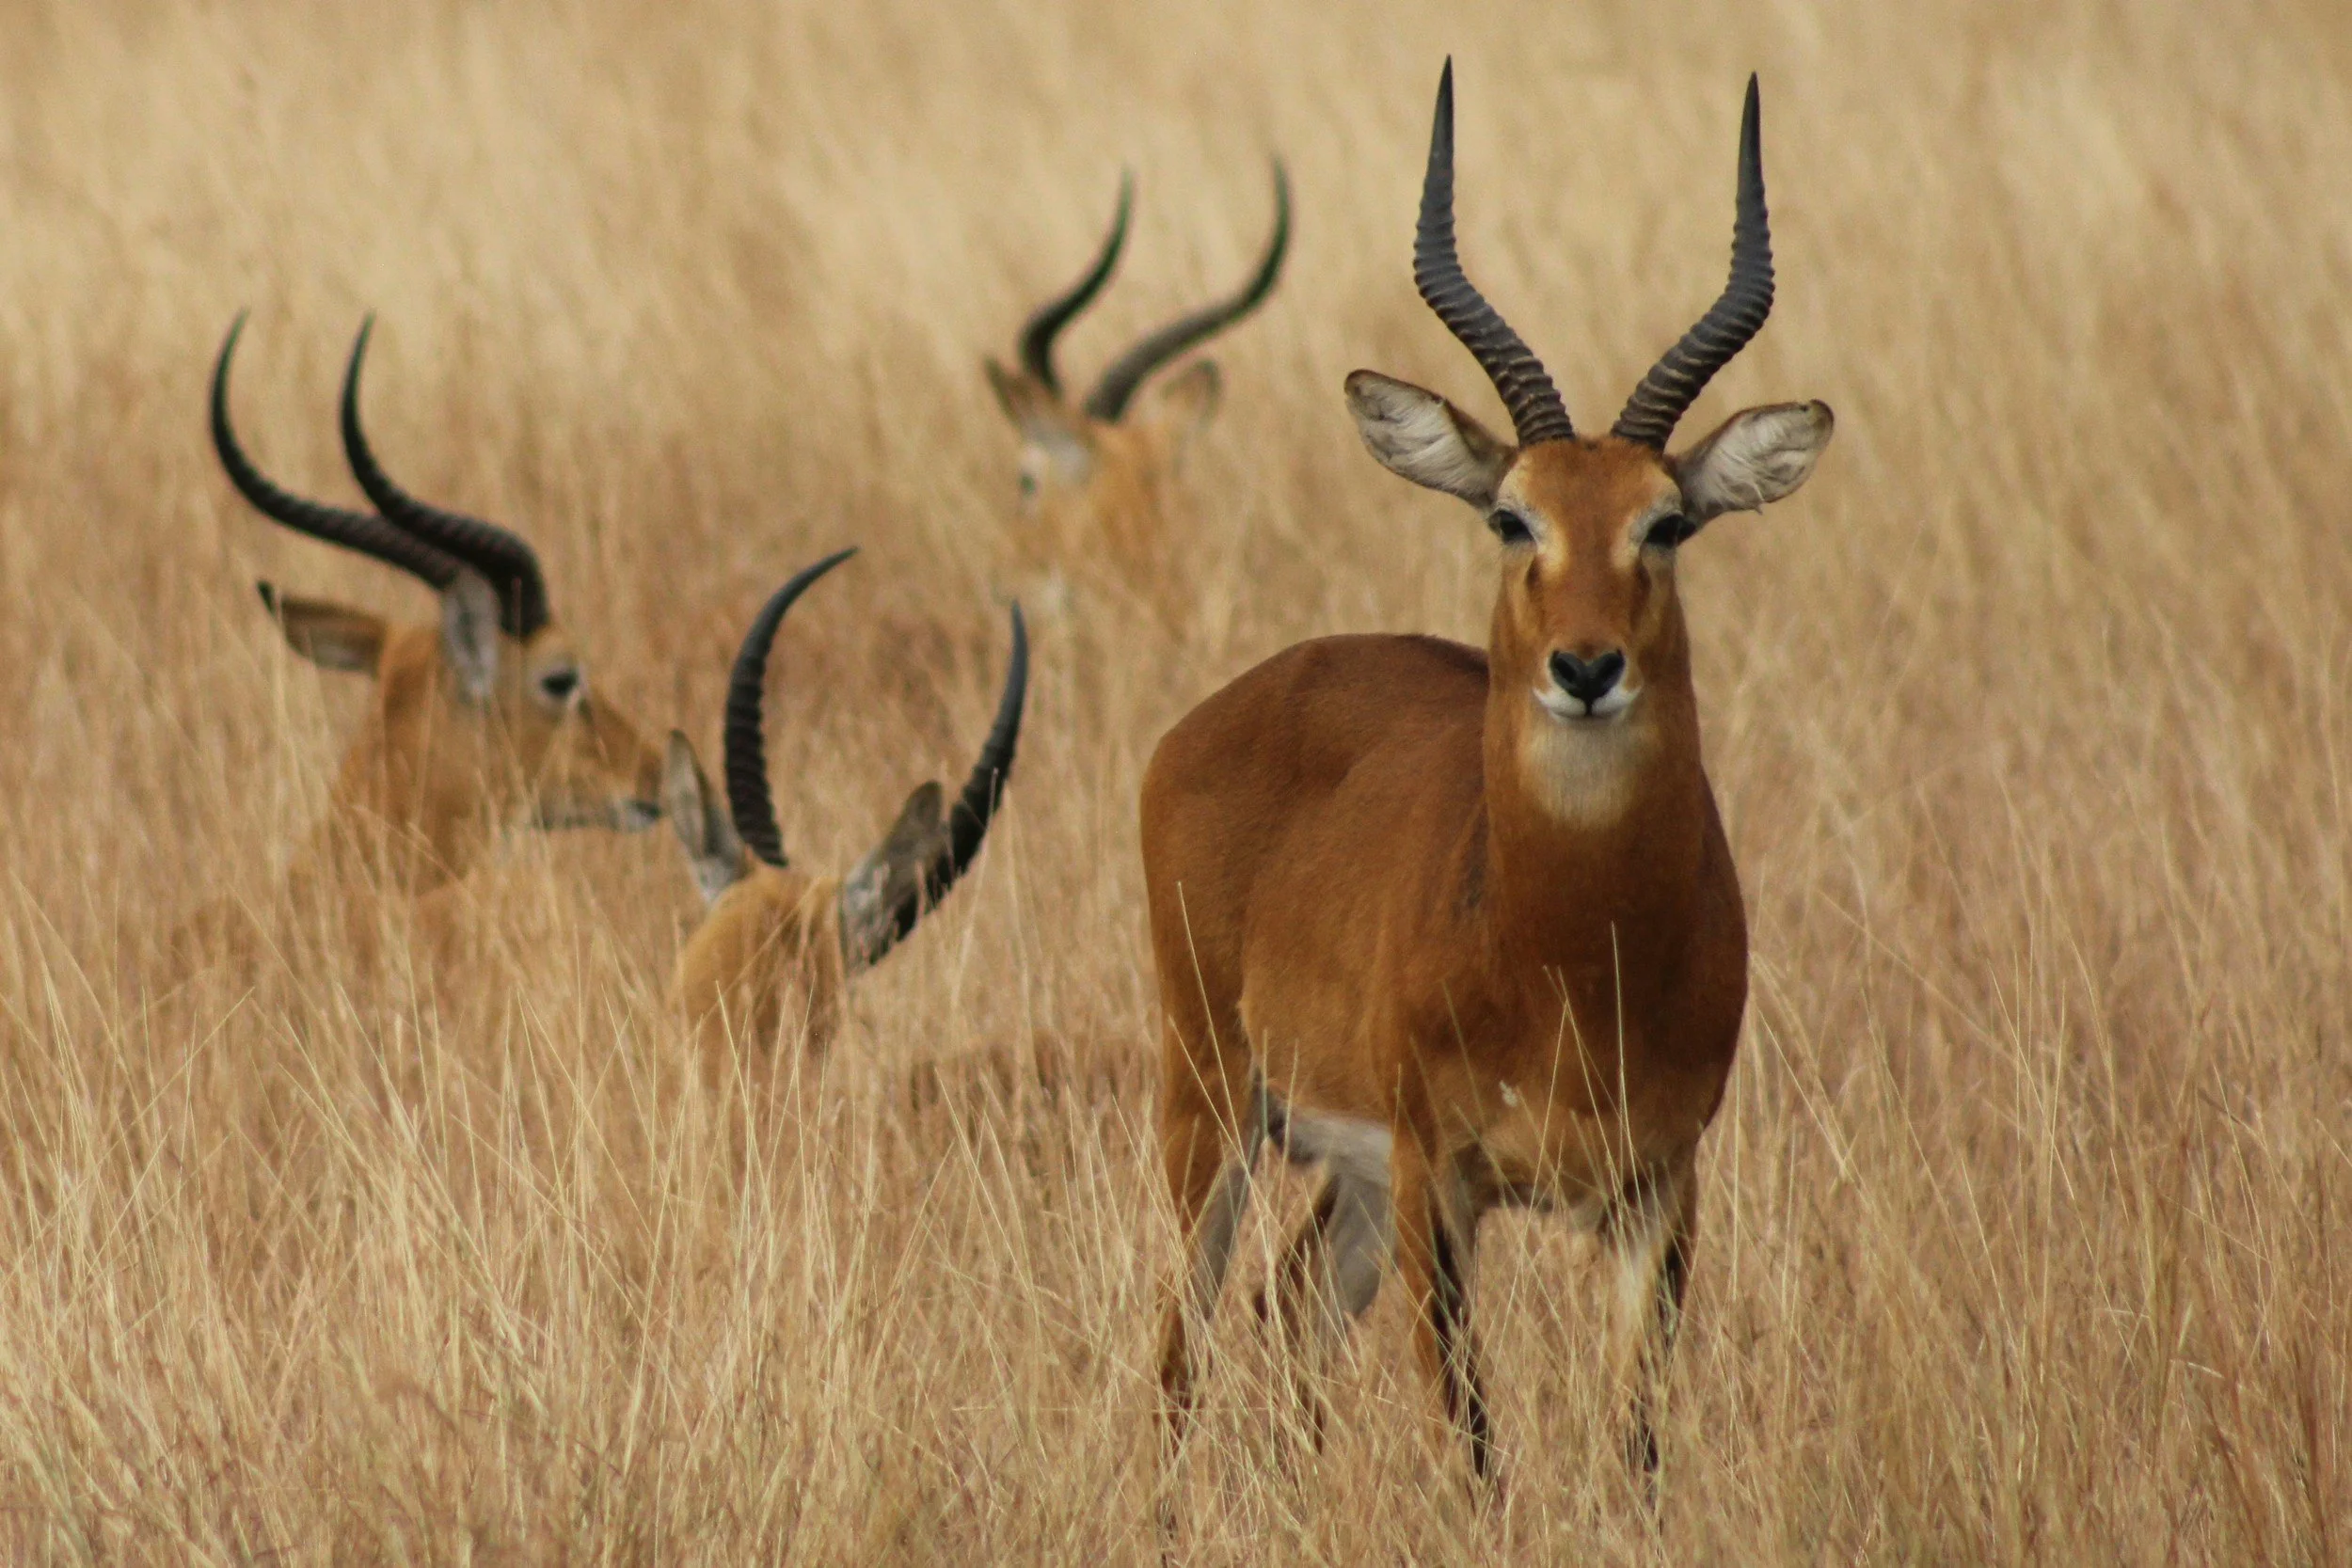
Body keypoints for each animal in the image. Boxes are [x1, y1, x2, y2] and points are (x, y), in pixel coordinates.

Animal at [1144, 65, 1832, 1496]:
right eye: (1512, 514)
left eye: (1666, 521)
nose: (1586, 664)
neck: (1569, 952)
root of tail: (1232, 702)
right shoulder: (1440, 1175)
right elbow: (1471, 1445)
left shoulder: (1658, 1186)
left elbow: (1632, 1450)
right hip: (1214, 1101)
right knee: (1180, 1351)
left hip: (1339, 1174)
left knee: (1281, 1314)